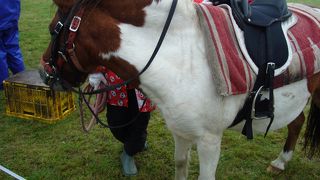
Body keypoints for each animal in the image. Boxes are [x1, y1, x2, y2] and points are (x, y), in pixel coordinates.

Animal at [40, 0, 320, 179]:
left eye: (52, 29)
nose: (44, 73)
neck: (187, 56)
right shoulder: (180, 130)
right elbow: (180, 165)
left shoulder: (209, 141)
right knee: (297, 122)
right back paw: (280, 163)